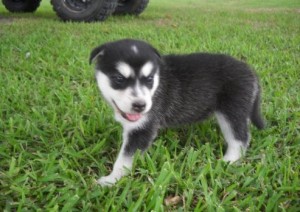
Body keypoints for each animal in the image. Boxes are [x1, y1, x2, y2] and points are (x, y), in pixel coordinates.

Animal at [89, 38, 264, 186]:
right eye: (118, 79)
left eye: (149, 79)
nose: (140, 106)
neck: (157, 84)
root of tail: (250, 70)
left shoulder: (142, 129)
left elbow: (124, 159)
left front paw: (111, 179)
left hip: (232, 111)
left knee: (240, 138)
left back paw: (228, 161)